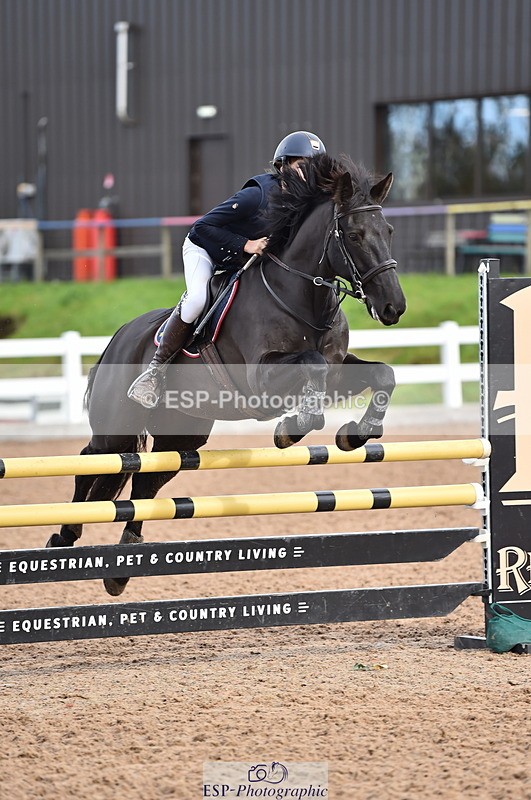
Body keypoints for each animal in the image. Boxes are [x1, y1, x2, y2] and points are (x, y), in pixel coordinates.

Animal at [46, 154, 406, 596]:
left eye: (388, 231)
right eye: (354, 235)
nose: (393, 307)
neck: (303, 297)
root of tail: (120, 335)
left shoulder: (337, 372)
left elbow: (381, 375)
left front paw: (356, 434)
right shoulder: (261, 378)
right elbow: (312, 366)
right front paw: (293, 429)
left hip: (182, 436)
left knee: (147, 483)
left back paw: (120, 568)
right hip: (116, 427)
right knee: (91, 463)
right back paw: (63, 537)